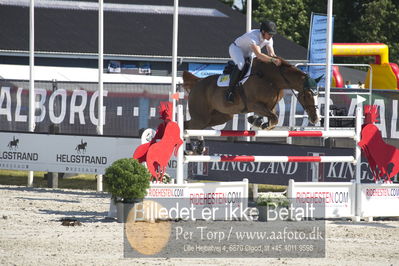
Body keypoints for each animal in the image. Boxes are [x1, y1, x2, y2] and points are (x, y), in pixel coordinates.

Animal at [184, 57, 322, 130]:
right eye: (308, 95)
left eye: (317, 95)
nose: (315, 119)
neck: (272, 79)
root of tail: (198, 82)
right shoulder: (254, 104)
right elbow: (274, 118)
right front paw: (260, 123)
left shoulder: (270, 106)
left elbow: (273, 118)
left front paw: (256, 121)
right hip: (200, 118)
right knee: (189, 125)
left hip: (219, 117)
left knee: (189, 125)